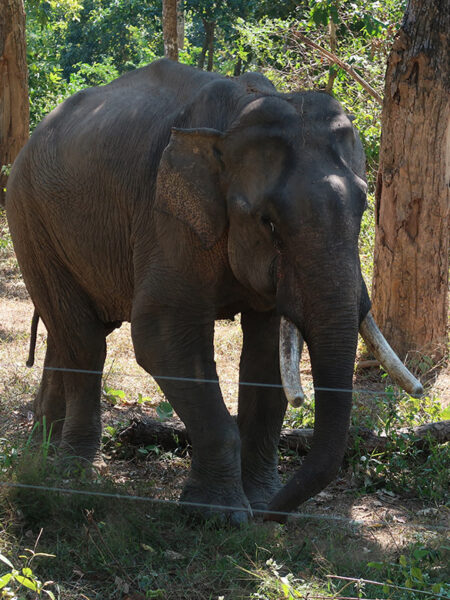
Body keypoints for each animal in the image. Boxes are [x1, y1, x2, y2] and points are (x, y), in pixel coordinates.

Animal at [5, 58, 422, 524]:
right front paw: (219, 517)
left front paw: (258, 502)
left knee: (65, 336)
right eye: (268, 222)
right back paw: (72, 476)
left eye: (364, 206)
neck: (238, 113)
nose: (274, 515)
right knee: (85, 342)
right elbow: (162, 336)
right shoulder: (168, 218)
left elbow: (266, 353)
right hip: (29, 218)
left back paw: (40, 457)